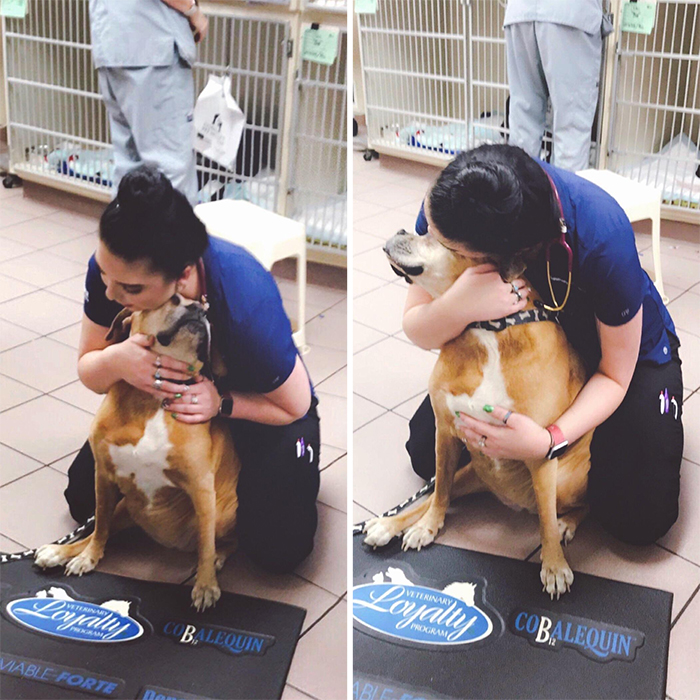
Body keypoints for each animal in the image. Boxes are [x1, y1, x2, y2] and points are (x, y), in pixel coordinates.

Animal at [35, 296, 241, 612]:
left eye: (207, 308)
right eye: (172, 298)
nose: (198, 310)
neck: (153, 398)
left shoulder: (202, 488)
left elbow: (206, 545)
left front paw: (206, 584)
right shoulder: (103, 476)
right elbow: (100, 525)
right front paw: (88, 556)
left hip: (225, 512)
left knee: (221, 541)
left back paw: (218, 557)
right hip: (125, 505)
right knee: (102, 528)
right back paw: (60, 552)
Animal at [364, 228, 592, 596]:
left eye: (433, 236)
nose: (399, 230)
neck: (488, 327)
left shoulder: (540, 452)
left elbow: (545, 517)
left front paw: (554, 565)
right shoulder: (445, 432)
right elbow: (439, 490)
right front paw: (428, 526)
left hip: (567, 480)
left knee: (575, 506)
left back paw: (566, 525)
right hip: (471, 472)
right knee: (434, 493)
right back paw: (389, 524)